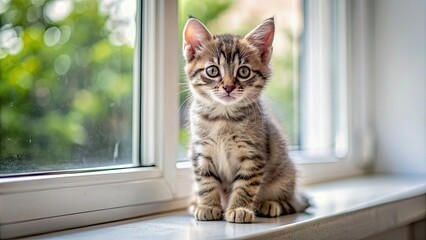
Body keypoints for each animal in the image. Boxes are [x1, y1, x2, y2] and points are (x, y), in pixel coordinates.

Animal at [183, 16, 310, 223]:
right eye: (212, 71)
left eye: (243, 72)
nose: (228, 87)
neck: (223, 118)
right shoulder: (200, 151)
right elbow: (205, 181)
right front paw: (208, 206)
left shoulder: (253, 154)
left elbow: (246, 184)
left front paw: (239, 209)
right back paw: (197, 204)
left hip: (285, 174)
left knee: (292, 202)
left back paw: (270, 204)